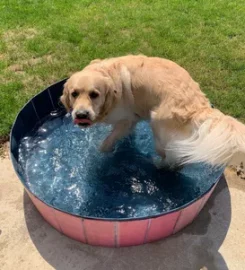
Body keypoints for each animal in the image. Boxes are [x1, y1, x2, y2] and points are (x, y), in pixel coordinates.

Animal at [60, 54, 245, 168]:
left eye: (94, 94)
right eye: (74, 94)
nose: (81, 115)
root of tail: (200, 106)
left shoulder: (126, 119)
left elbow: (107, 143)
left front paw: (100, 155)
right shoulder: (131, 120)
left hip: (158, 127)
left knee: (171, 159)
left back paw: (158, 163)